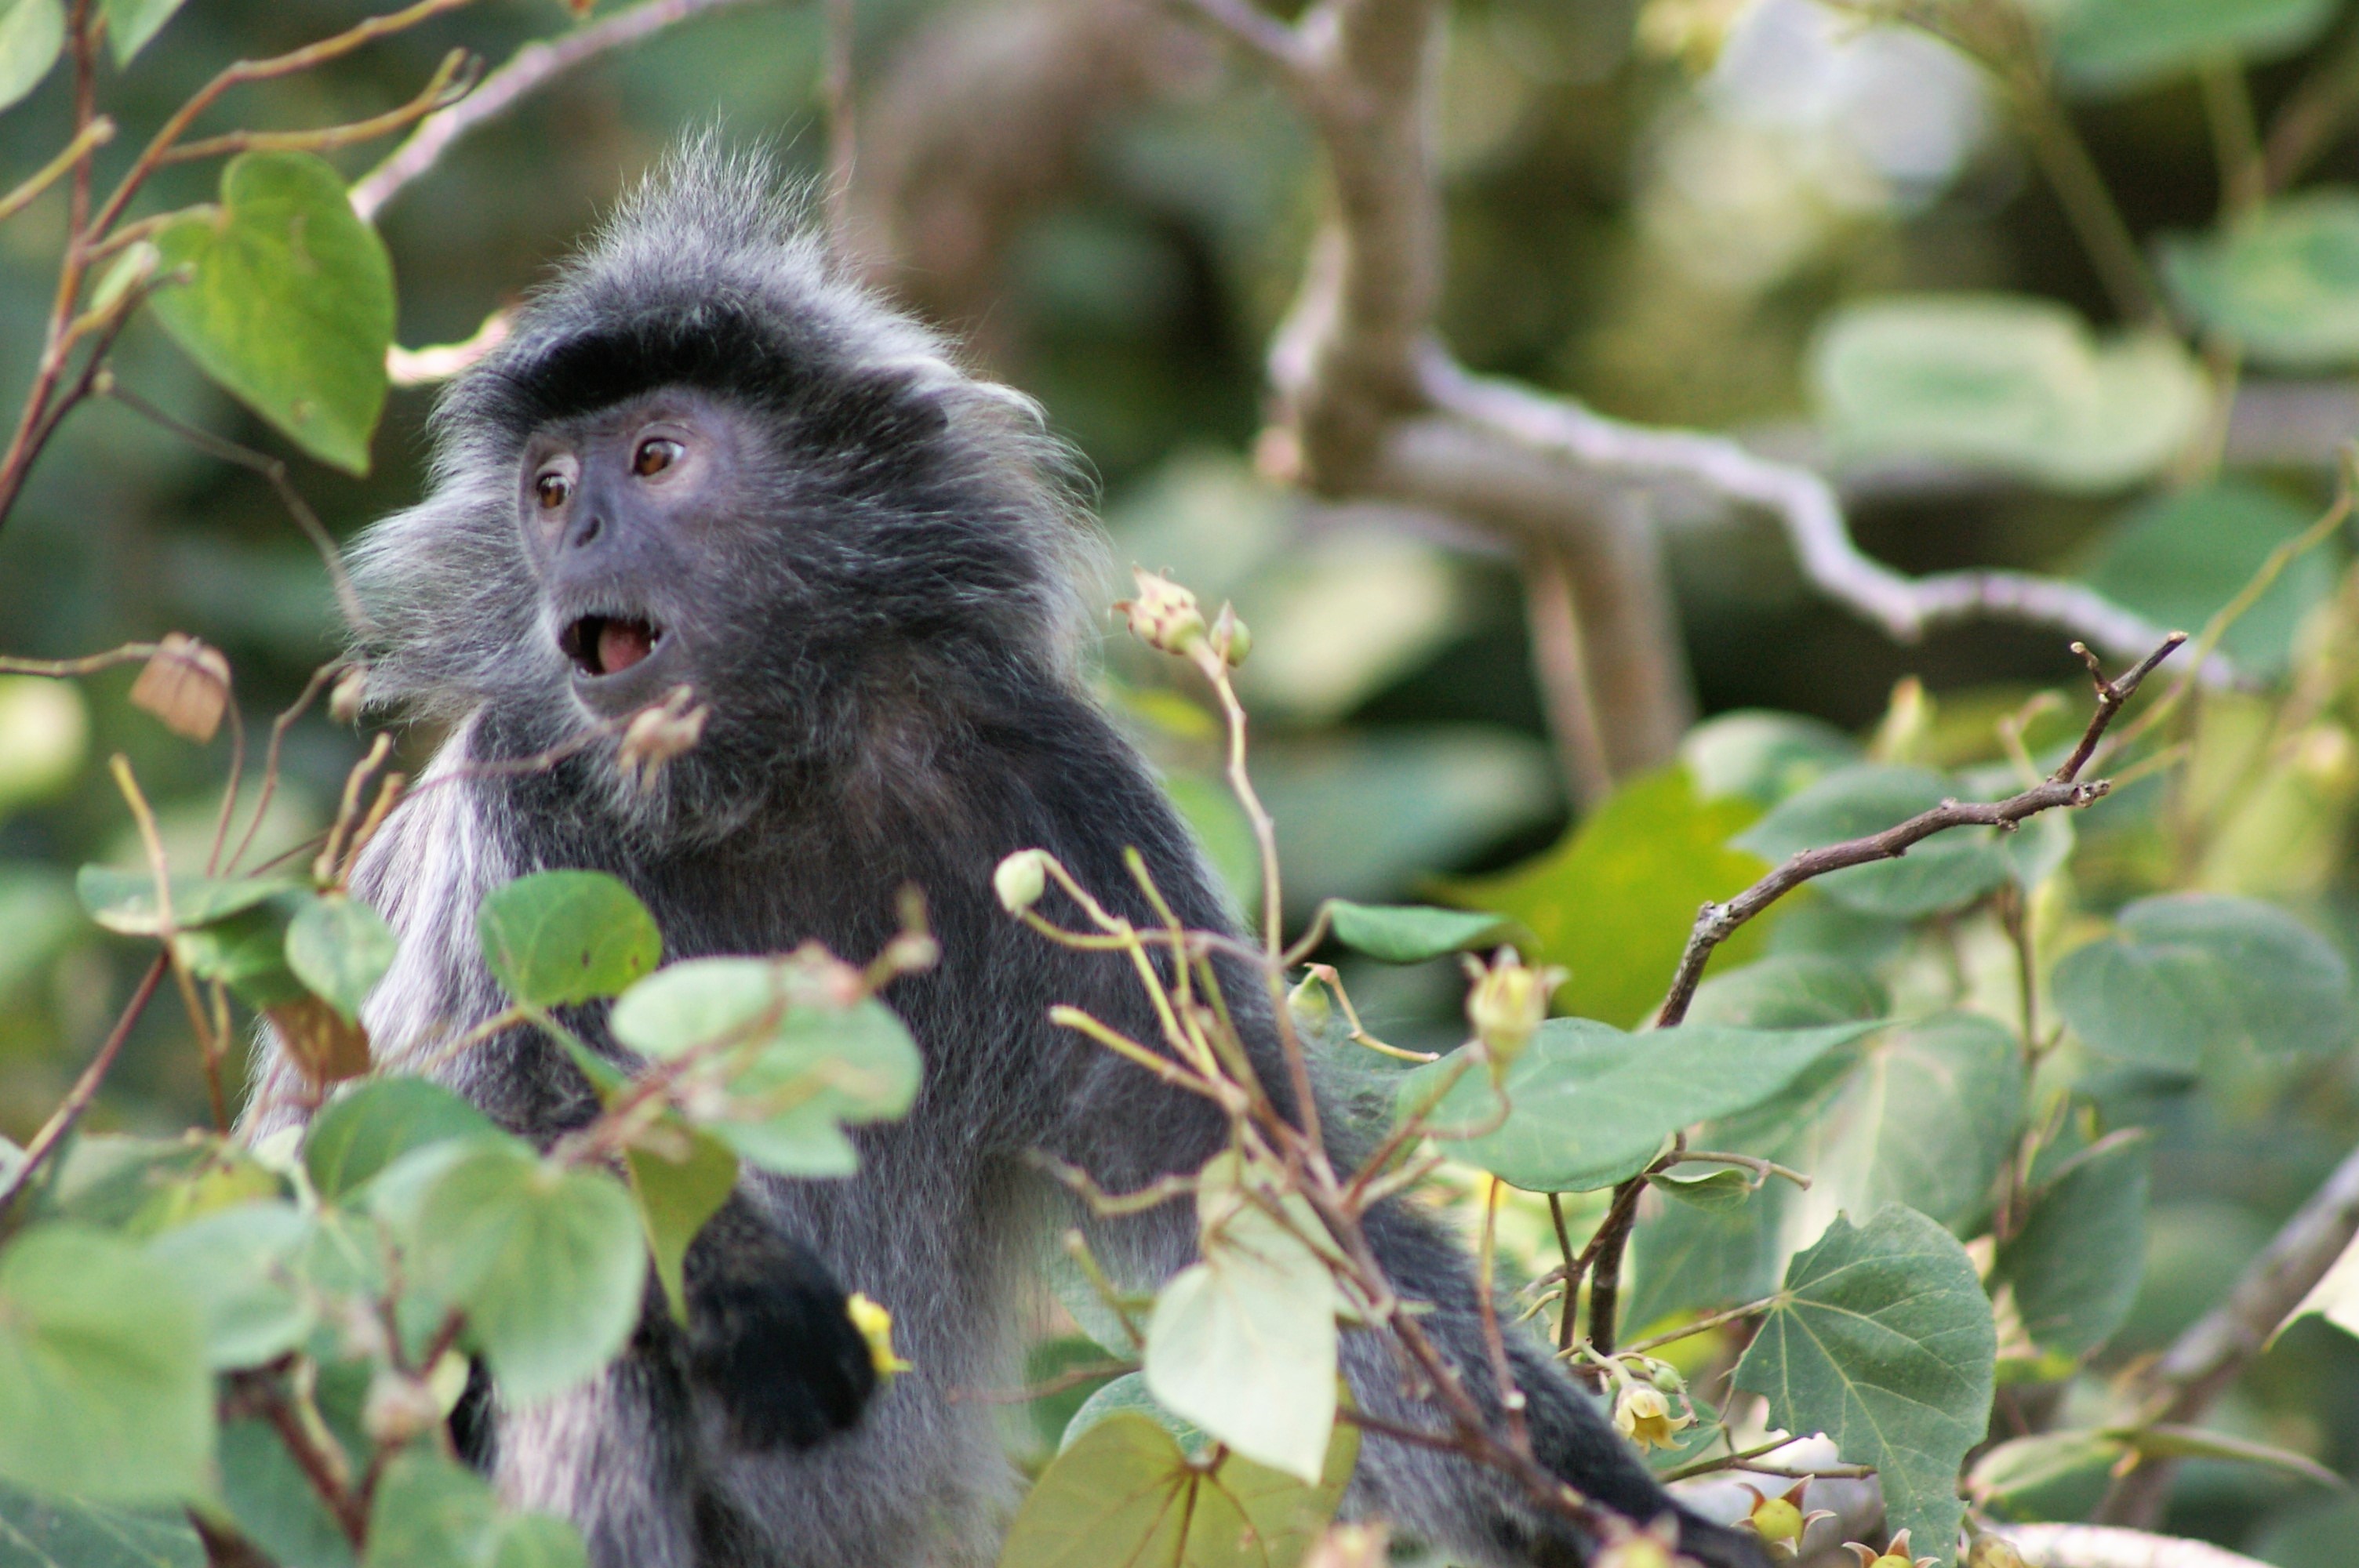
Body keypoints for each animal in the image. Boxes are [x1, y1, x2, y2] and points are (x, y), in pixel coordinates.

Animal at [243, 144, 1768, 1568]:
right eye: (550, 487)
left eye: (655, 459)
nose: (579, 533)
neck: (772, 775)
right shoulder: (512, 814)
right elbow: (403, 1170)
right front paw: (743, 1289)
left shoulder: (1054, 790)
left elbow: (1257, 1186)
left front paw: (1627, 1514)